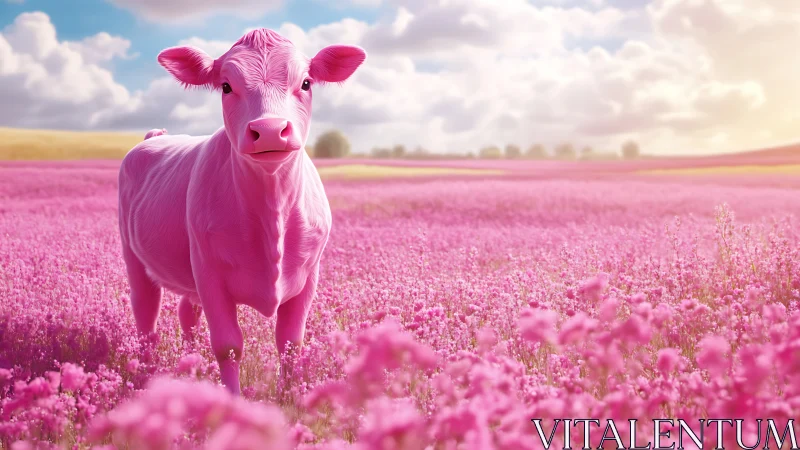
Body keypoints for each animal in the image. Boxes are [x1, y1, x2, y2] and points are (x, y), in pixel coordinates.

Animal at [117, 28, 366, 394]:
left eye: (306, 83)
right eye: (225, 86)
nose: (271, 129)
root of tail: (154, 136)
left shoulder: (309, 275)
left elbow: (290, 341)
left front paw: (289, 397)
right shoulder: (209, 273)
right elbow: (229, 346)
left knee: (186, 314)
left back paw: (191, 367)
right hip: (135, 257)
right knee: (146, 317)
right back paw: (146, 377)